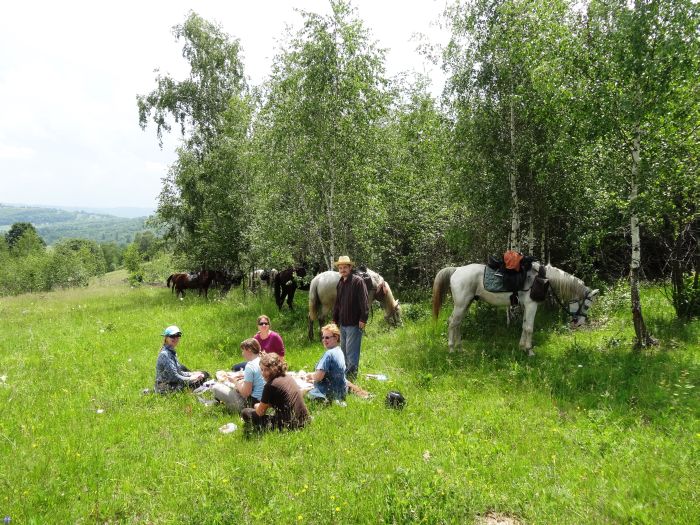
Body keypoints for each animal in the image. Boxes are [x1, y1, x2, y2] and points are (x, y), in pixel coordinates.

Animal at [430, 264, 600, 354]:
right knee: (452, 323)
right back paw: (452, 349)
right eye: (587, 305)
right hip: (461, 304)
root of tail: (456, 269)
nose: (579, 323)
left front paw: (522, 347)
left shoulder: (526, 306)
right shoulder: (531, 305)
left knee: (458, 323)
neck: (543, 279)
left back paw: (460, 348)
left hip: (466, 304)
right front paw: (530, 351)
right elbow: (529, 328)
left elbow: (524, 326)